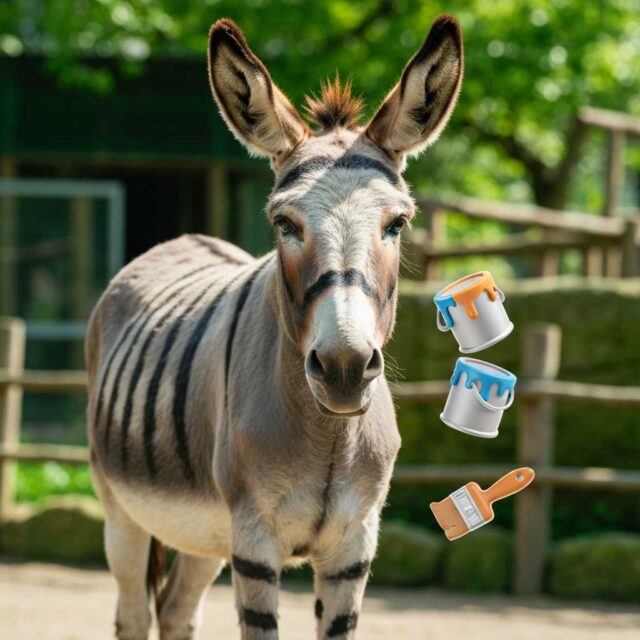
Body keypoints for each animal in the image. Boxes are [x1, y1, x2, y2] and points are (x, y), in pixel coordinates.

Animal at [86, 14, 463, 640]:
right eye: (283, 223)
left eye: (398, 223)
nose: (343, 368)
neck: (327, 435)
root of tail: (182, 239)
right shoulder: (255, 543)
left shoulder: (353, 547)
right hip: (124, 514)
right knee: (134, 612)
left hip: (205, 534)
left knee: (176, 610)